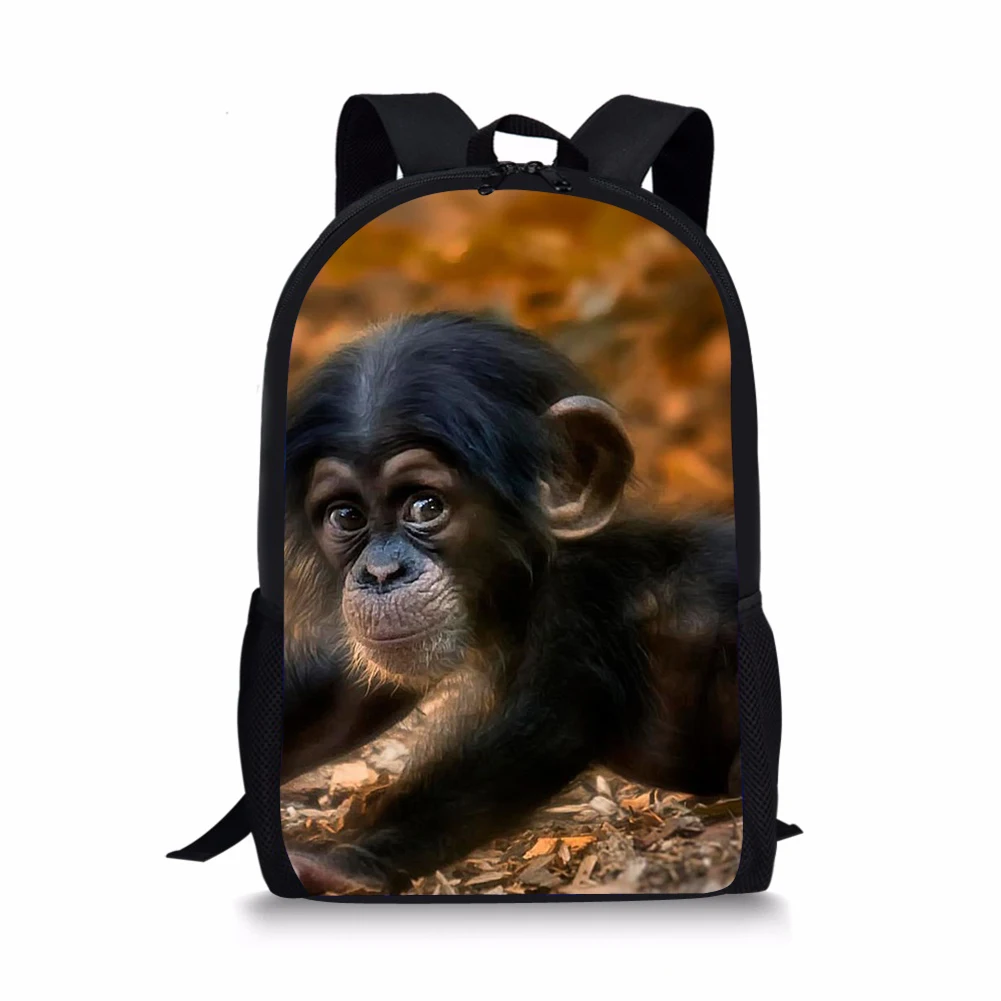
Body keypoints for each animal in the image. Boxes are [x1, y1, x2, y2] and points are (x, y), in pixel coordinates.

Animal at [281, 312, 739, 894]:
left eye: (425, 506)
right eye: (346, 516)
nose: (381, 573)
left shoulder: (579, 602)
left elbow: (534, 733)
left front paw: (339, 864)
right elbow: (344, 691)